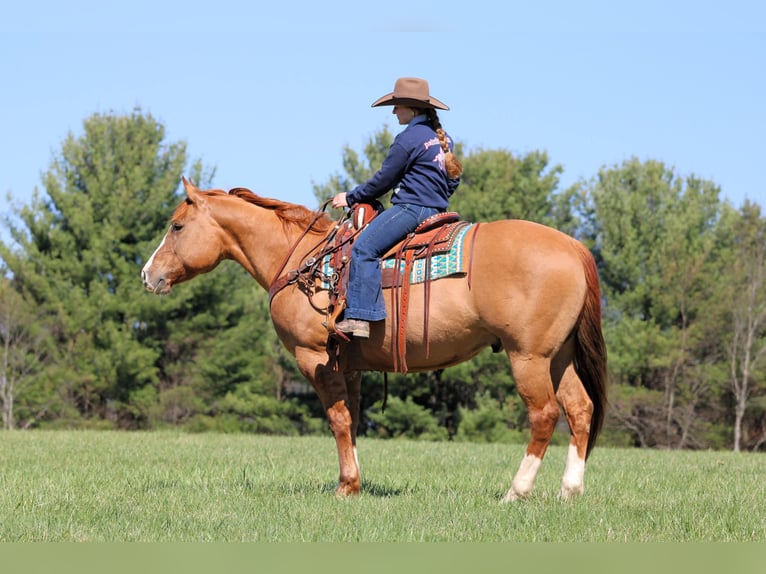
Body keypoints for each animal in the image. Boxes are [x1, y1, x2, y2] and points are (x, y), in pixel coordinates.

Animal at [141, 177, 608, 501]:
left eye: (177, 226)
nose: (148, 275)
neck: (306, 263)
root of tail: (572, 247)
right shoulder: (349, 366)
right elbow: (351, 420)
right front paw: (356, 483)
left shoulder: (314, 359)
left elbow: (337, 420)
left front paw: (345, 486)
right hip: (558, 356)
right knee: (580, 410)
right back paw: (569, 491)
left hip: (528, 357)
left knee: (545, 415)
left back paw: (516, 492)